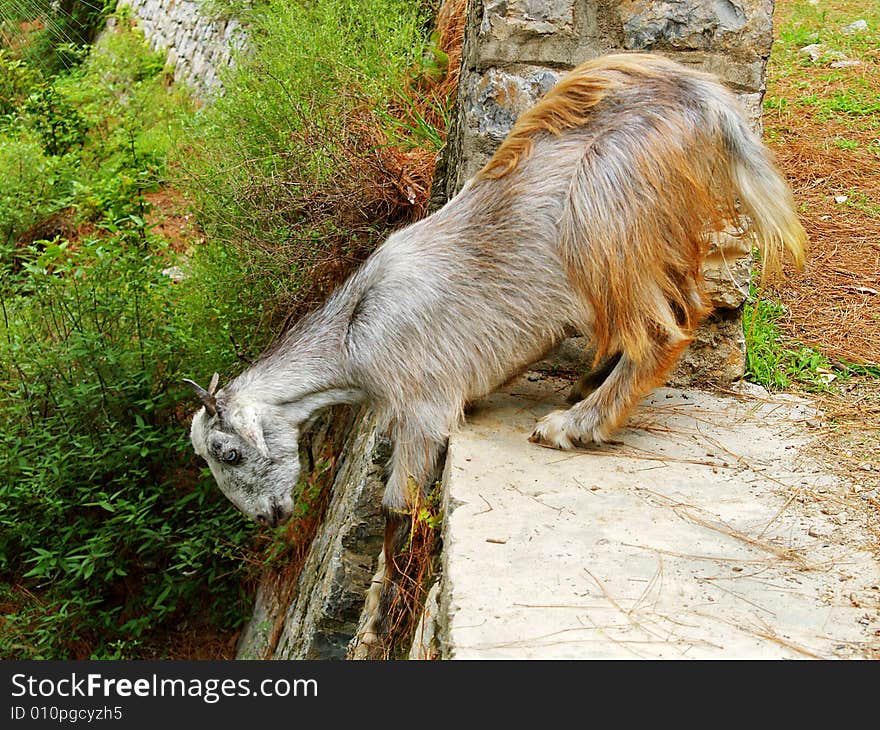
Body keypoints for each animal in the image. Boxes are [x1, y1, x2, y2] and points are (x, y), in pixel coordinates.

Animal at [186, 52, 804, 644]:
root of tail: (702, 99)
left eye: (228, 453)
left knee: (663, 330)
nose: (268, 517)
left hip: (606, 217)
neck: (355, 333)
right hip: (652, 235)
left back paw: (575, 423)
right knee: (681, 305)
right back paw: (586, 387)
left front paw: (382, 616)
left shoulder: (424, 404)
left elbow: (396, 508)